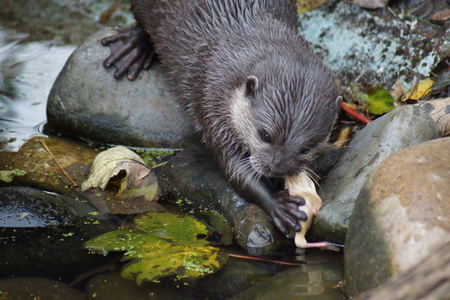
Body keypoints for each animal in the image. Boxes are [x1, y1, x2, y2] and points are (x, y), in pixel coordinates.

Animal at [101, 0, 342, 236]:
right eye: (265, 135)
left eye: (307, 148)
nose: (277, 168)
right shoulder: (212, 101)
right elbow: (234, 167)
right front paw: (278, 204)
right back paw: (133, 46)